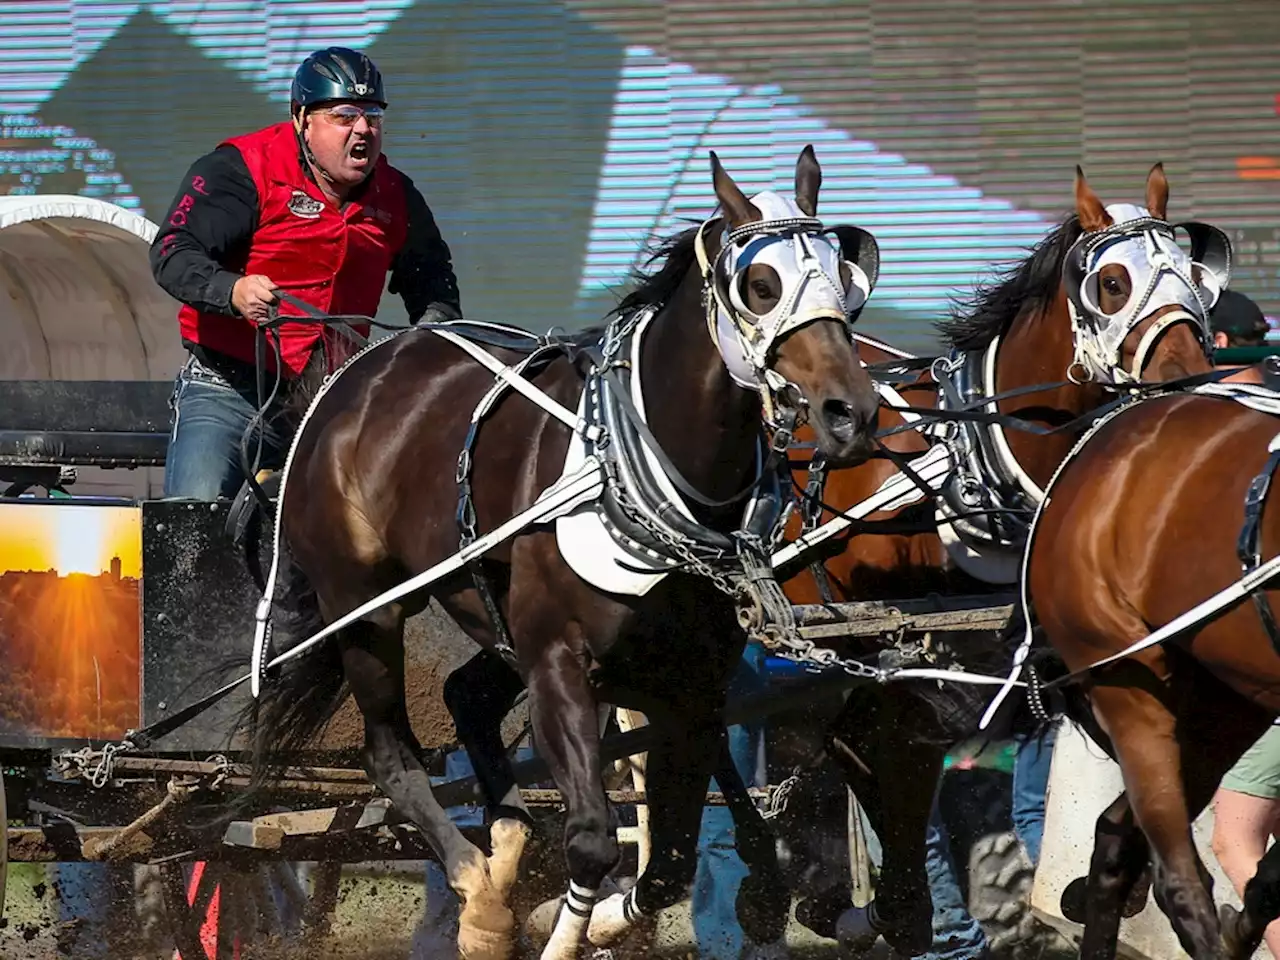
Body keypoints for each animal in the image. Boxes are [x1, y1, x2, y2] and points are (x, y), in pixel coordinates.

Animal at [240, 146, 885, 957]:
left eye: (848, 282)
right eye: (760, 286)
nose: (851, 413)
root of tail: (356, 372)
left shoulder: (691, 688)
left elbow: (669, 861)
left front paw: (597, 916)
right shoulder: (557, 661)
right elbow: (592, 841)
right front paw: (558, 922)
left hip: (487, 606)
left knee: (467, 698)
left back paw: (502, 859)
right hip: (364, 607)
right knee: (391, 756)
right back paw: (480, 901)